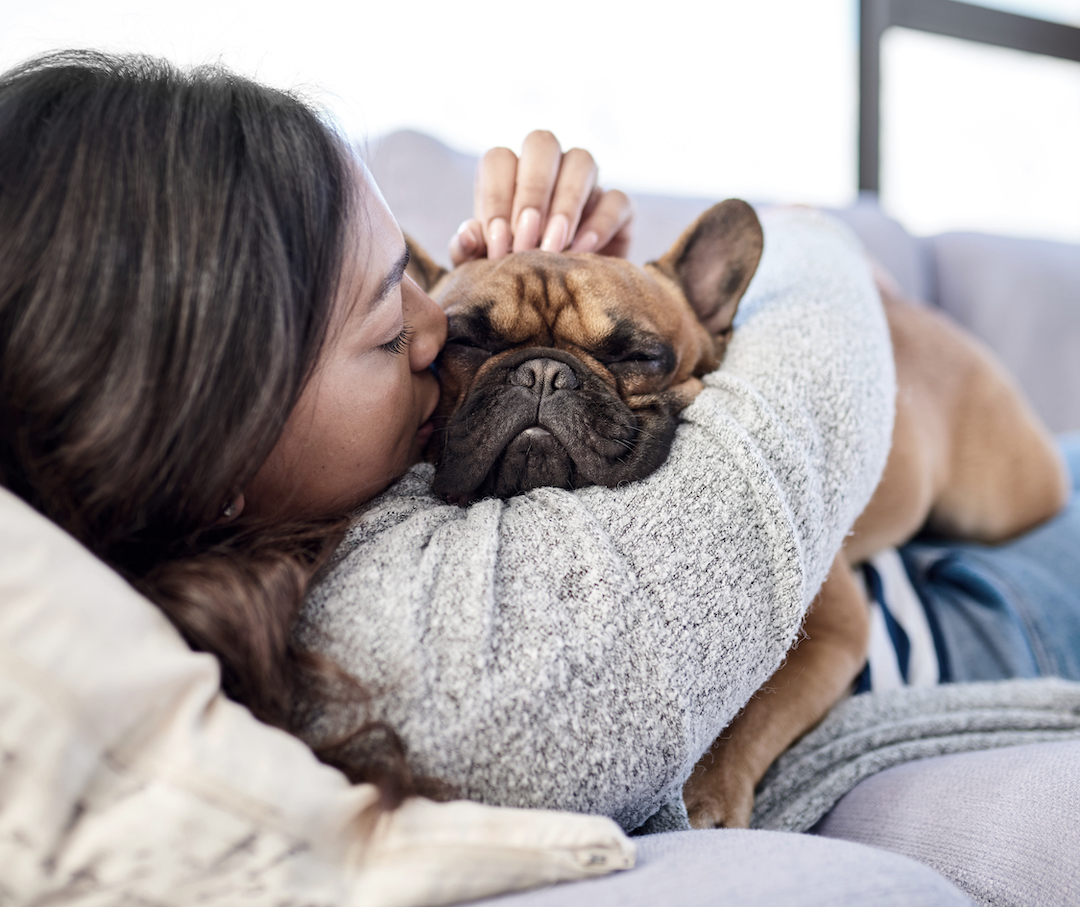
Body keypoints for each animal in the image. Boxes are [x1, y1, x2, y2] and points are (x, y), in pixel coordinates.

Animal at [406, 201, 1071, 833]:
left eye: (639, 355)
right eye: (463, 344)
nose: (543, 371)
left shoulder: (832, 629)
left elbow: (748, 715)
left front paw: (707, 797)